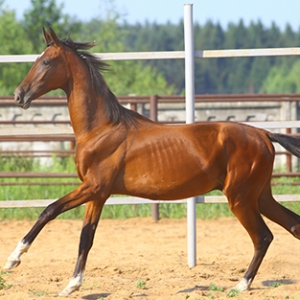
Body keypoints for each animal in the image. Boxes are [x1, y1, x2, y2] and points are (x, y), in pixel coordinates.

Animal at [4, 27, 300, 296]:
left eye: (46, 62)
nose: (18, 95)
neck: (101, 129)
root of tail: (263, 134)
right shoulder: (98, 194)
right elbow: (86, 236)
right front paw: (72, 285)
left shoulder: (94, 187)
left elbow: (49, 210)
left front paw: (13, 259)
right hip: (259, 196)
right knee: (293, 226)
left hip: (240, 197)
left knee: (263, 236)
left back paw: (241, 285)